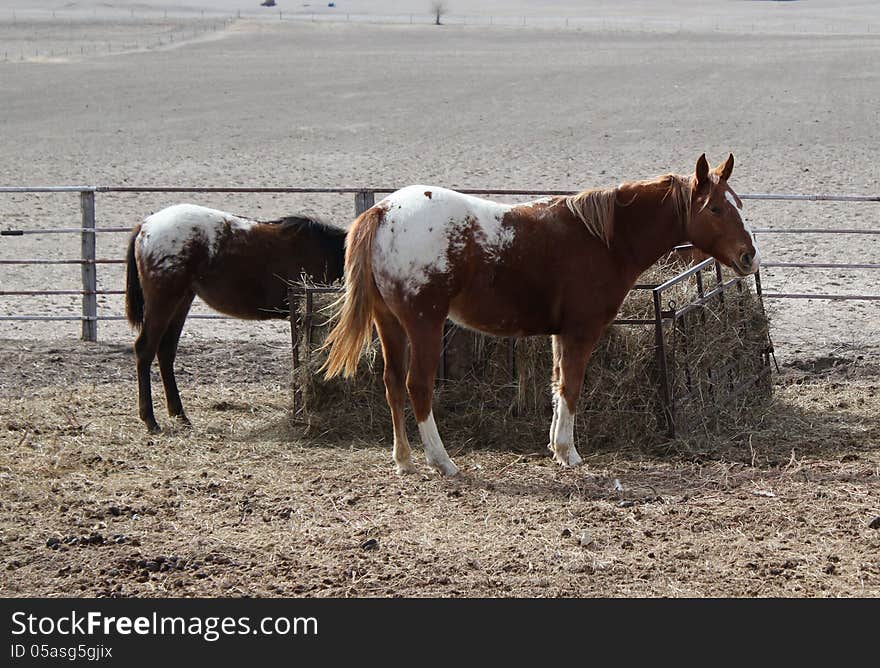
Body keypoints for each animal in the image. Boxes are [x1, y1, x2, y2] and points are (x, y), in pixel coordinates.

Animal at [127, 202, 348, 434]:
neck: (327, 251)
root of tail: (146, 226)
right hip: (163, 302)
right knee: (145, 349)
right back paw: (150, 420)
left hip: (181, 302)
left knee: (166, 351)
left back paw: (180, 416)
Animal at [320, 153, 760, 474]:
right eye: (716, 208)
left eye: (737, 204)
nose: (749, 256)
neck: (604, 239)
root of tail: (382, 211)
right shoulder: (581, 331)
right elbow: (572, 387)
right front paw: (569, 452)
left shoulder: (559, 334)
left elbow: (556, 384)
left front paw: (555, 447)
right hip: (424, 324)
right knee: (417, 387)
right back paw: (442, 461)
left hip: (390, 324)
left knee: (393, 383)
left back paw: (405, 460)